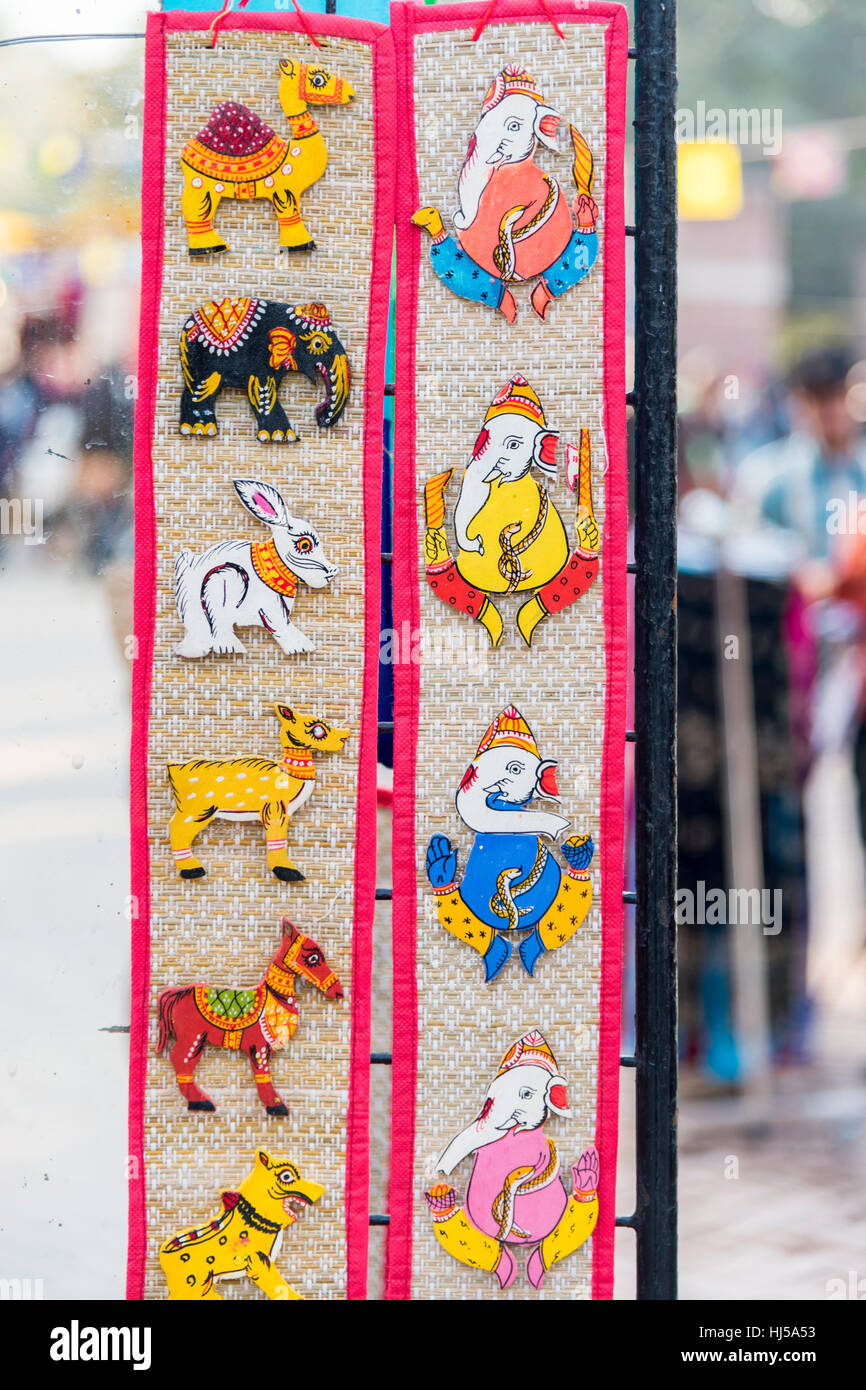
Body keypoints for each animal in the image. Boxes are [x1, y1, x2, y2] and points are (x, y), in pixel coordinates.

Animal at [179, 58, 355, 255]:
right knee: (192, 210)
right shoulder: (283, 188)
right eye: (318, 80)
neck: (295, 150)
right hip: (200, 184)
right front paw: (300, 245)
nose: (351, 94)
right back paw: (212, 247)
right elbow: (289, 214)